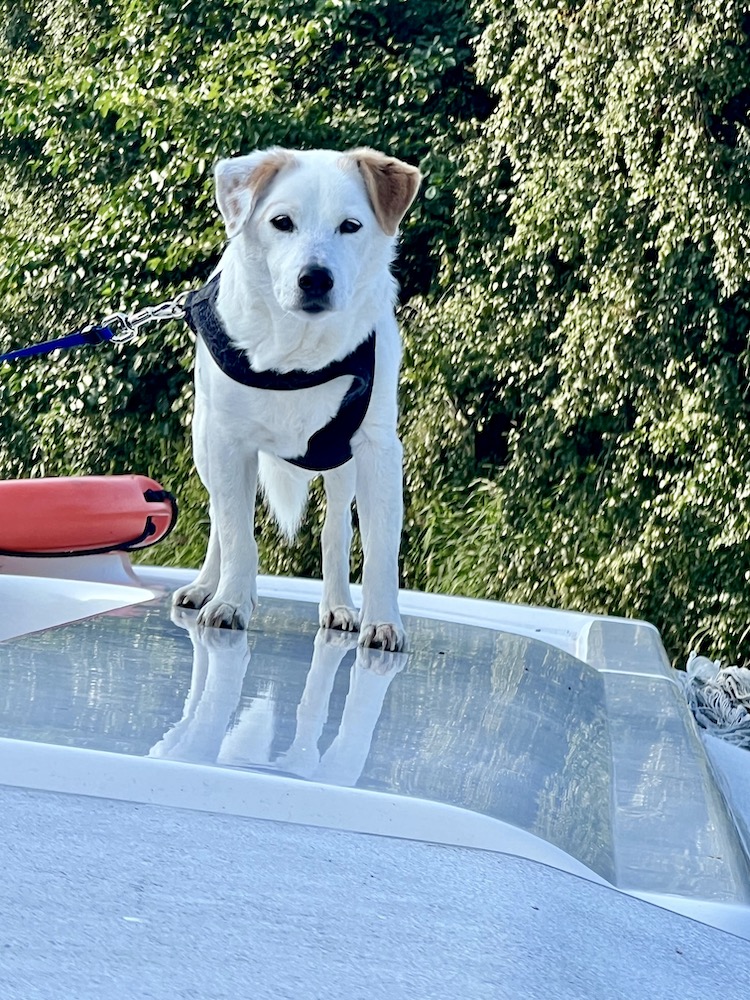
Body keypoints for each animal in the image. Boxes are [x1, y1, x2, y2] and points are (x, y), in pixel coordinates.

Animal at [176, 146, 424, 648]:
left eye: (350, 225)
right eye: (282, 222)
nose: (315, 278)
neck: (298, 357)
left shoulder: (378, 448)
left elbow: (380, 547)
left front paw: (382, 621)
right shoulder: (229, 443)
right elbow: (236, 532)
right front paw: (230, 601)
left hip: (341, 464)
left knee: (336, 531)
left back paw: (339, 607)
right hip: (204, 444)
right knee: (218, 519)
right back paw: (208, 588)